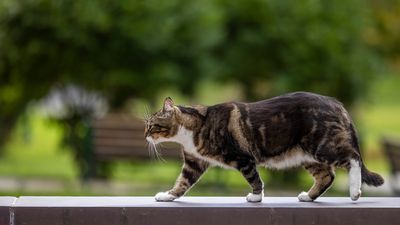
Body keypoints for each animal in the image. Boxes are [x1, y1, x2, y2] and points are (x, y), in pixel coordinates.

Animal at [145, 91, 384, 202]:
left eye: (152, 125)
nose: (145, 136)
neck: (194, 128)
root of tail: (336, 103)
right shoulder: (194, 162)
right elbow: (182, 183)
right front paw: (167, 196)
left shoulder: (242, 158)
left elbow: (254, 178)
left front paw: (256, 197)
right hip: (306, 155)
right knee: (327, 176)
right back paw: (308, 196)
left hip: (322, 145)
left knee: (353, 158)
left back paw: (354, 191)